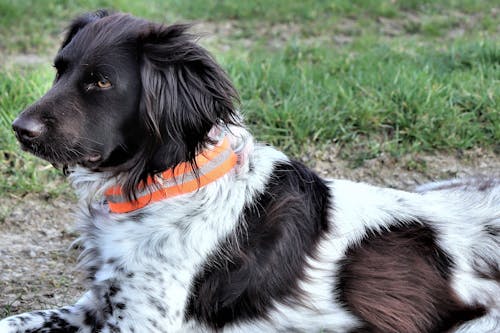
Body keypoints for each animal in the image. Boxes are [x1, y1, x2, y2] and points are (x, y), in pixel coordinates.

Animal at [1, 10, 498, 332]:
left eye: (101, 81)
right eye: (59, 71)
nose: (18, 128)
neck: (159, 186)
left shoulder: (141, 323)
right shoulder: (100, 303)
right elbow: (18, 319)